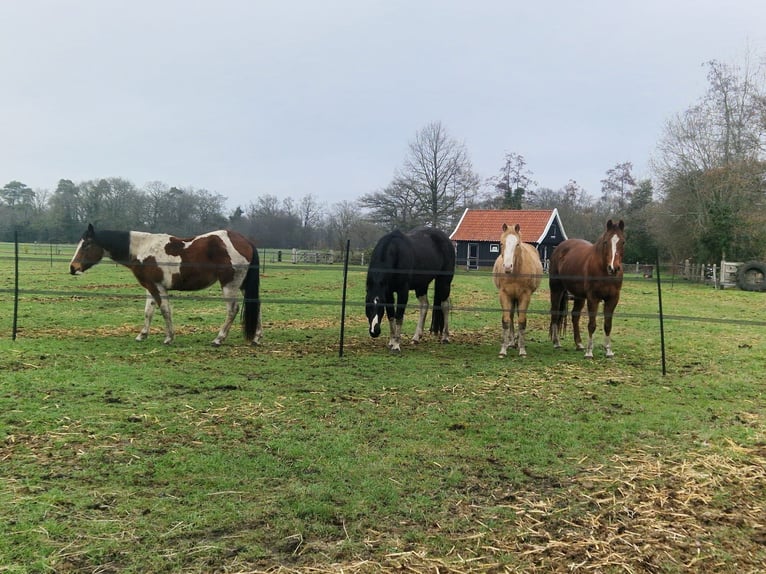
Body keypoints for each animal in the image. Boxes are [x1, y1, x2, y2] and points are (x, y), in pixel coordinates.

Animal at [69, 223, 262, 346]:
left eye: (86, 244)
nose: (73, 268)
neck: (142, 250)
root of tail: (246, 241)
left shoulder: (158, 287)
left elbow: (165, 311)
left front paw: (169, 338)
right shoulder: (150, 287)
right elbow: (148, 311)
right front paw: (142, 335)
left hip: (229, 285)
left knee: (232, 310)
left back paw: (219, 339)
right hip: (243, 285)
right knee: (255, 305)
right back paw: (256, 338)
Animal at [492, 223, 543, 357]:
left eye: (517, 244)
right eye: (501, 243)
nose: (507, 267)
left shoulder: (525, 296)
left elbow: (522, 321)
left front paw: (522, 350)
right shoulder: (504, 295)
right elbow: (506, 320)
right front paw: (503, 350)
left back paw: (517, 342)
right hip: (512, 297)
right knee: (511, 316)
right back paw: (511, 342)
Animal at [548, 219, 625, 358]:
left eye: (623, 242)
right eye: (606, 242)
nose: (613, 268)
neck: (603, 270)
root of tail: (560, 248)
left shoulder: (613, 299)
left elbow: (608, 325)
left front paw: (609, 351)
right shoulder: (593, 298)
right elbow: (592, 325)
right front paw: (589, 352)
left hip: (579, 296)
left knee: (575, 316)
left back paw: (579, 344)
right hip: (556, 289)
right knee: (555, 312)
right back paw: (556, 342)